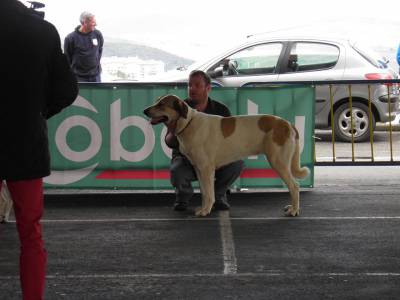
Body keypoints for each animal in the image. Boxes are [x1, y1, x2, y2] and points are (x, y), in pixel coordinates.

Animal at [144, 95, 310, 217]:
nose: (145, 110)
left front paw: (205, 211)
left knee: (294, 186)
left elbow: (209, 193)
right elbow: (204, 192)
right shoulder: (199, 169)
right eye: (156, 101)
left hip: (278, 162)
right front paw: (205, 208)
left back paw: (294, 210)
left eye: (161, 104)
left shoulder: (206, 169)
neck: (188, 123)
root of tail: (287, 124)